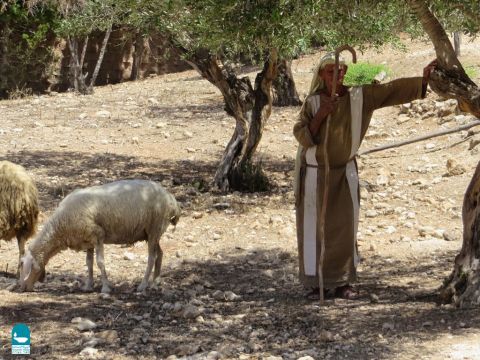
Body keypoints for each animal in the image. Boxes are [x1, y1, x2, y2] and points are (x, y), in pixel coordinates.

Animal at [18, 179, 180, 294]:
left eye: (22, 265)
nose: (21, 287)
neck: (60, 227)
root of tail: (172, 200)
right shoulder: (87, 240)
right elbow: (89, 263)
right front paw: (88, 285)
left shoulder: (98, 235)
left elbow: (100, 262)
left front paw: (105, 288)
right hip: (153, 232)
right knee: (160, 254)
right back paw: (156, 282)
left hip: (154, 227)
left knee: (152, 257)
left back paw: (143, 285)